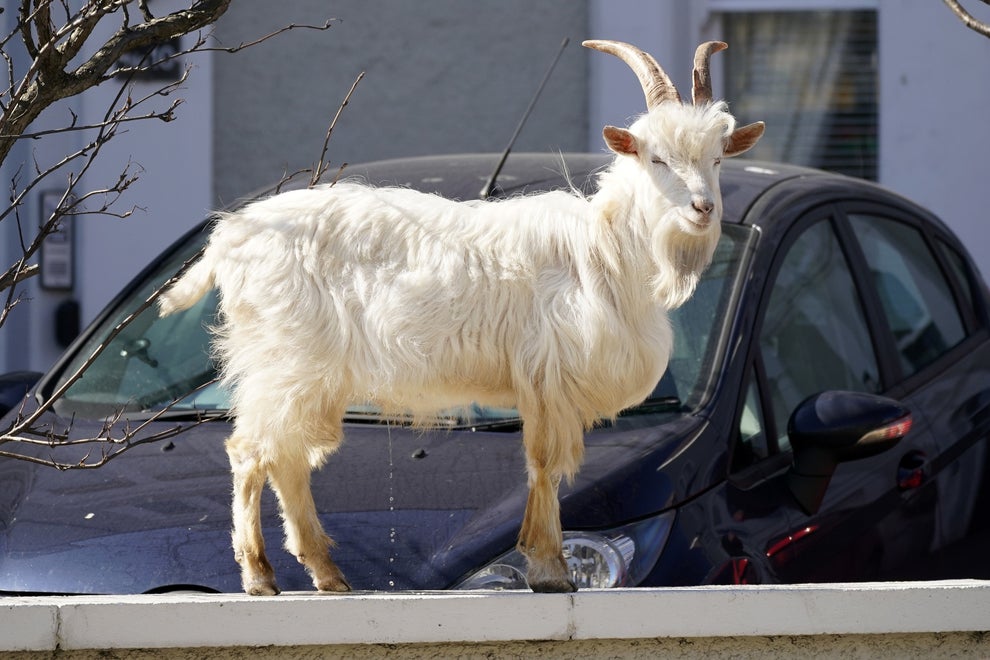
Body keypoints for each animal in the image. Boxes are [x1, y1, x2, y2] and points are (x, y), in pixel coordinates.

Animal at [161, 41, 768, 600]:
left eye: (718, 157)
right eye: (655, 158)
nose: (703, 208)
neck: (606, 248)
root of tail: (228, 236)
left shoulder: (541, 383)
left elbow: (538, 464)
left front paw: (543, 567)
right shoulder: (548, 375)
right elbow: (544, 463)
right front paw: (551, 569)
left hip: (311, 374)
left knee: (285, 456)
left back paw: (326, 574)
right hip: (286, 357)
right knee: (250, 450)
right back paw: (260, 576)